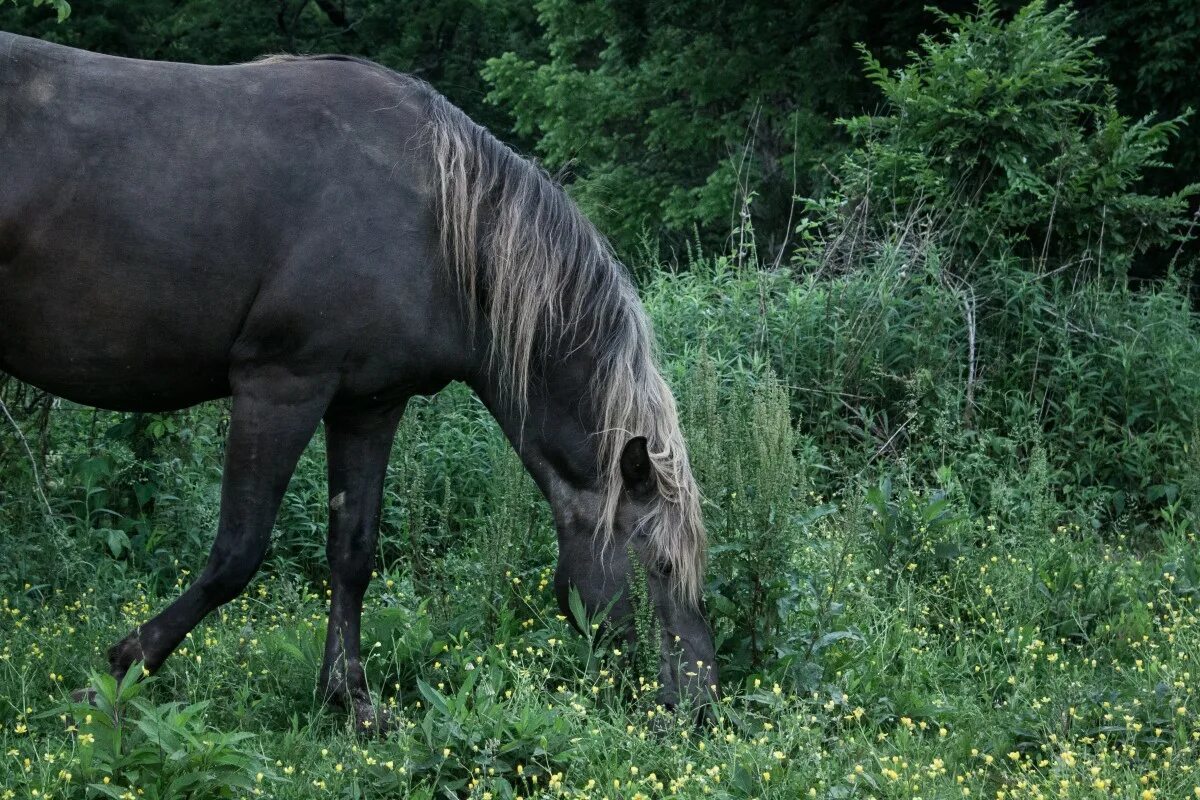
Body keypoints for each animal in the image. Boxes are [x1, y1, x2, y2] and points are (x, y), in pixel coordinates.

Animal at [0, 32, 710, 734]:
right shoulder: (280, 387)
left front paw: (350, 699)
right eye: (659, 564)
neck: (434, 223)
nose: (698, 707)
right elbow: (237, 553)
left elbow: (353, 551)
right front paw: (119, 672)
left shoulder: (368, 406)